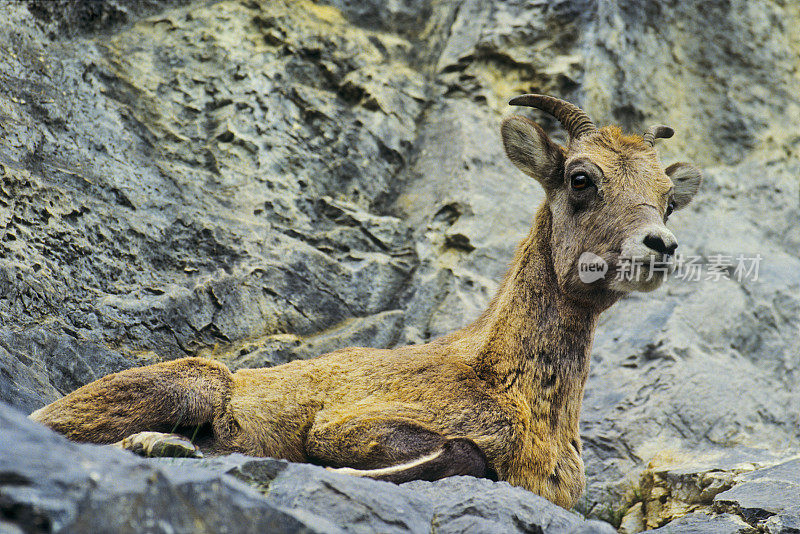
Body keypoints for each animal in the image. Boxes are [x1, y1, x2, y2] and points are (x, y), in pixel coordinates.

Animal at [29, 96, 700, 510]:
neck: (503, 382)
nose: (660, 245)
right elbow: (463, 455)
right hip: (199, 380)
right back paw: (162, 444)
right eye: (581, 179)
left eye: (669, 198)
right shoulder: (348, 424)